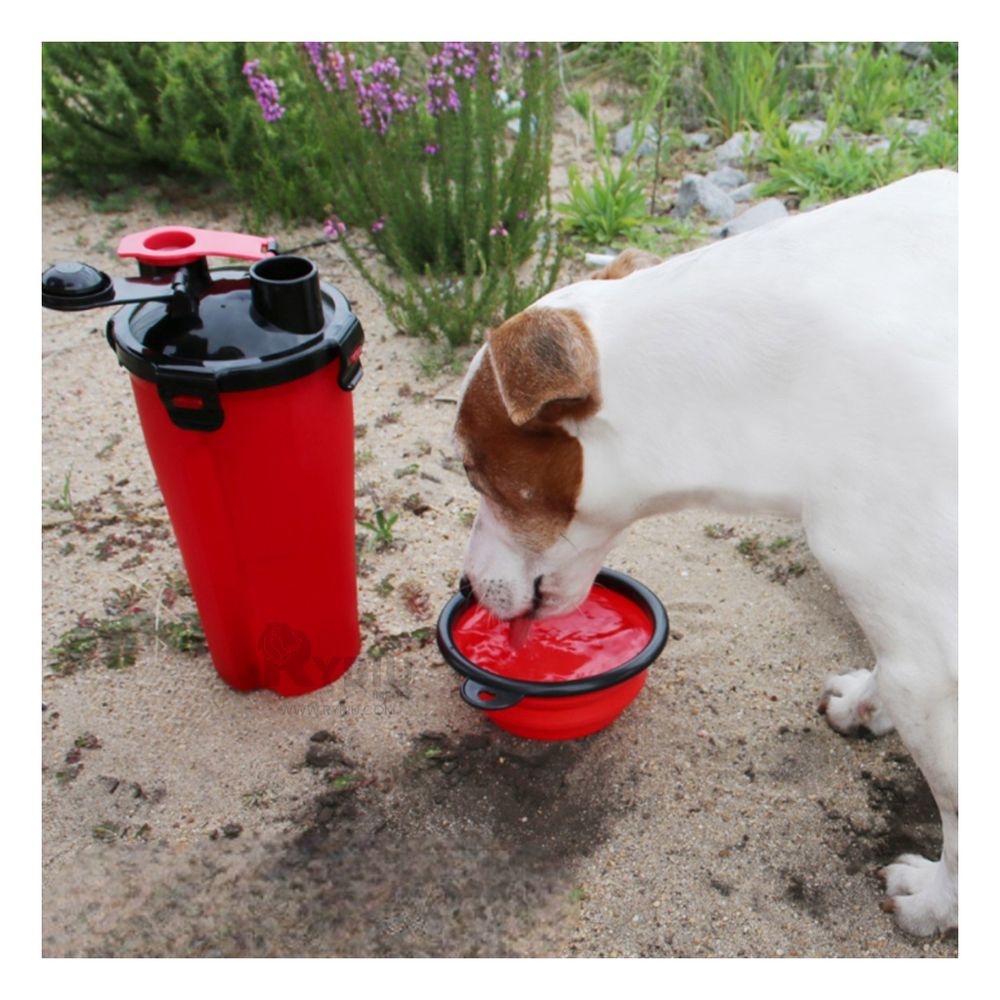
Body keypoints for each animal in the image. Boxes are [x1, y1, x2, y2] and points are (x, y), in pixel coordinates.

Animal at [458, 170, 956, 936]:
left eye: (471, 471)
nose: (464, 586)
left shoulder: (935, 668)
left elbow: (962, 819)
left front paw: (938, 904)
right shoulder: (914, 636)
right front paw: (867, 704)